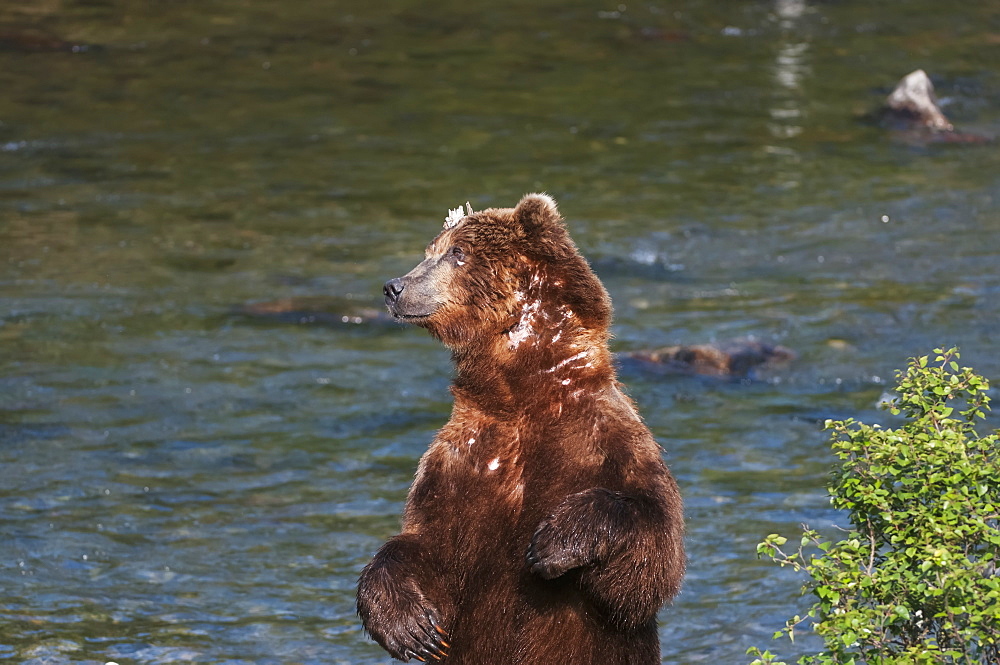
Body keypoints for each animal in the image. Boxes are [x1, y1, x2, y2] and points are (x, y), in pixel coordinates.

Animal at [360, 193, 688, 664]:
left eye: (457, 253)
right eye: (430, 250)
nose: (394, 286)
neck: (524, 395)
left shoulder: (607, 439)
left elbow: (651, 558)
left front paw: (552, 544)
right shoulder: (461, 458)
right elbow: (423, 541)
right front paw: (412, 629)